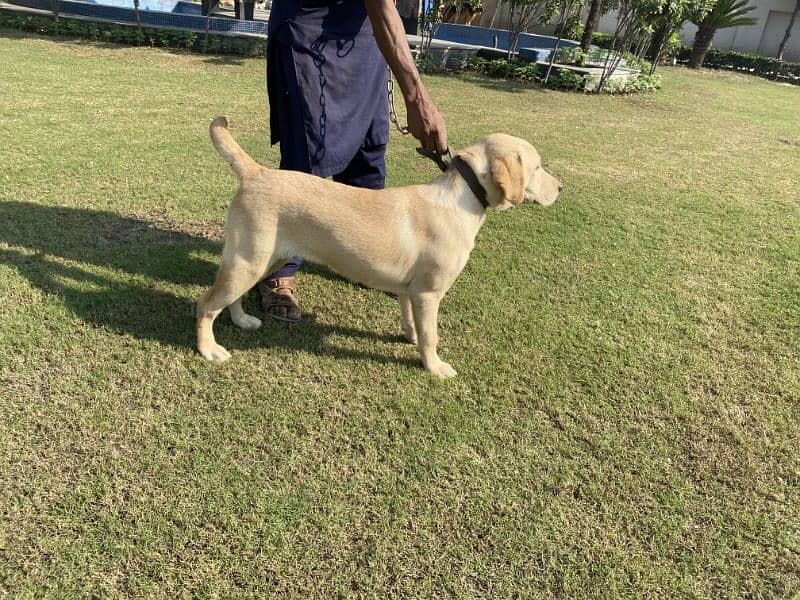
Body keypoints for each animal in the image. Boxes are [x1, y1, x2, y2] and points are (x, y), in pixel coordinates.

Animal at [198, 117, 564, 378]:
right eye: (538, 167)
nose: (561, 187)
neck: (464, 195)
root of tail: (256, 172)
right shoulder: (429, 293)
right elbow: (432, 334)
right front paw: (434, 366)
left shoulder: (410, 290)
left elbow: (411, 321)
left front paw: (411, 338)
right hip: (250, 261)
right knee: (205, 304)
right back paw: (208, 349)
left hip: (262, 260)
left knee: (230, 298)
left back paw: (242, 320)